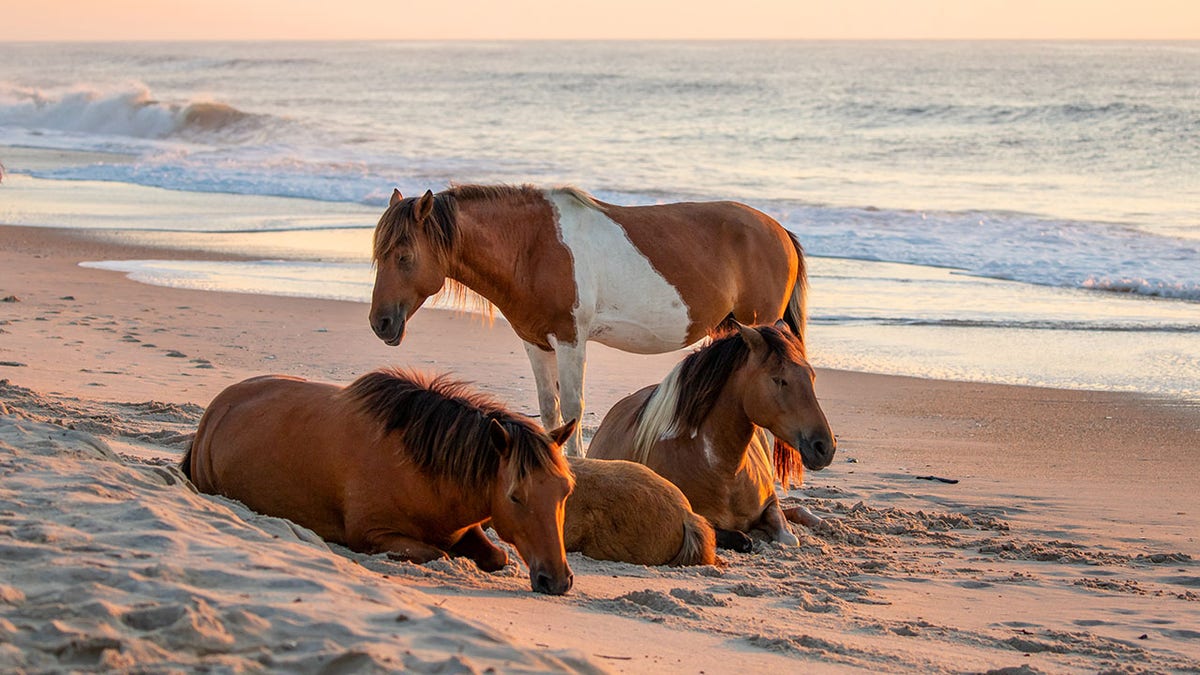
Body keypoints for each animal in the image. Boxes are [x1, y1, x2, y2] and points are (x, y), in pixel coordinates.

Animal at [182, 367, 580, 593]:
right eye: (515, 497)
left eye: (565, 493)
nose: (557, 580)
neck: (421, 469)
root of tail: (215, 411)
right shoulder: (372, 534)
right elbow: (436, 553)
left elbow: (497, 555)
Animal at [369, 186, 811, 454]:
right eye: (379, 255)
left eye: (404, 257)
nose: (381, 324)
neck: (533, 247)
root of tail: (779, 232)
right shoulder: (536, 342)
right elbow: (550, 410)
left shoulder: (570, 340)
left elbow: (573, 409)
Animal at [583, 324, 835, 550]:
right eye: (779, 379)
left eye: (811, 376)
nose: (825, 447)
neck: (724, 471)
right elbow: (741, 539)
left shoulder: (771, 504)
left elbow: (788, 536)